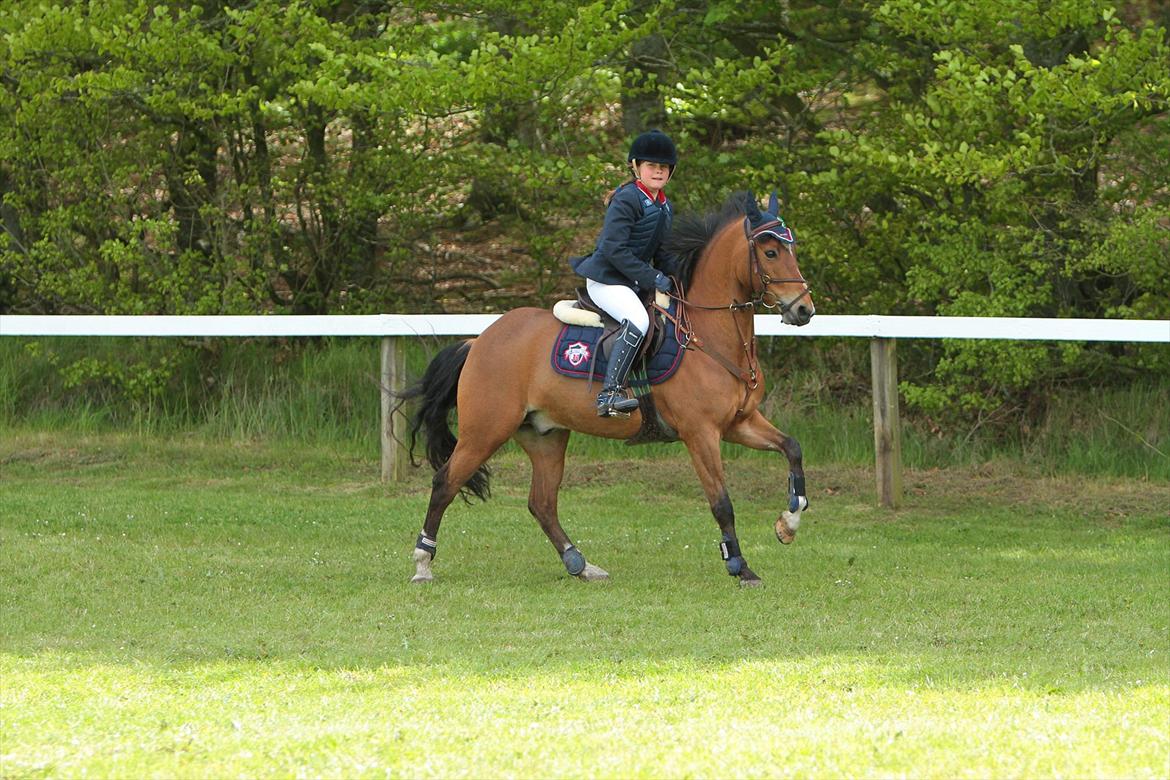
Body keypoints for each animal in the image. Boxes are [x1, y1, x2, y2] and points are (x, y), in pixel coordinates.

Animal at [402, 191, 814, 589]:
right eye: (771, 252)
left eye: (793, 250)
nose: (804, 310)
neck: (707, 334)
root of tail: (479, 340)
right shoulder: (701, 433)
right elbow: (722, 503)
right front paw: (740, 567)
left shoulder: (739, 423)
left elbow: (793, 448)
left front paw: (788, 524)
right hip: (485, 431)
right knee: (445, 483)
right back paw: (423, 564)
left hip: (544, 435)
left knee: (542, 503)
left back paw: (580, 565)